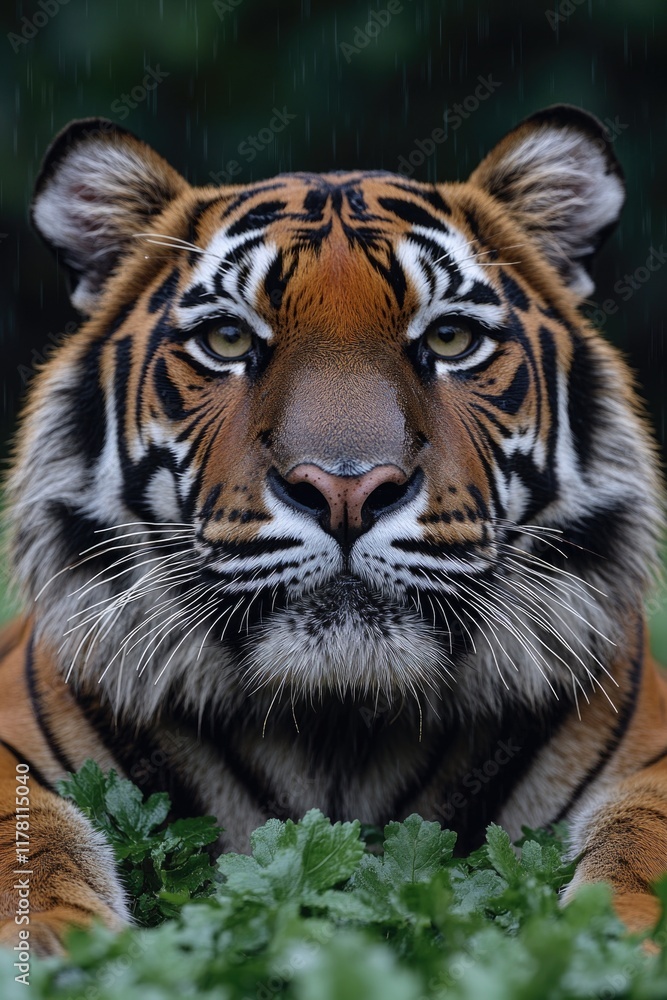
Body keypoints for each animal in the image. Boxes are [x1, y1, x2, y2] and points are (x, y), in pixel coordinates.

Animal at [1, 104, 666, 956]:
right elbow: (24, 827)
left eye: (450, 339)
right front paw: (58, 940)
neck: (340, 730)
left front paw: (612, 940)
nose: (346, 489)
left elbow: (640, 828)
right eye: (227, 339)